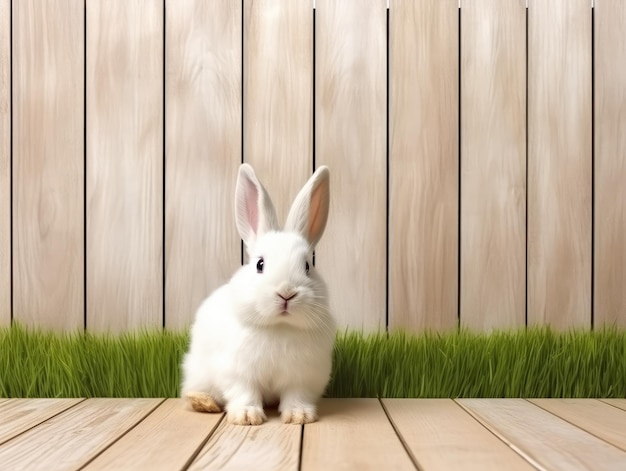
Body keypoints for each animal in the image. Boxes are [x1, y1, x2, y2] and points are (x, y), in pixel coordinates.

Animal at [179, 164, 334, 426]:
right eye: (260, 264)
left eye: (307, 266)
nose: (286, 293)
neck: (279, 327)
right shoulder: (238, 373)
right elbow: (245, 393)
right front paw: (247, 417)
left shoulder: (303, 377)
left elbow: (296, 396)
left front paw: (299, 416)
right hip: (197, 370)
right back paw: (204, 402)